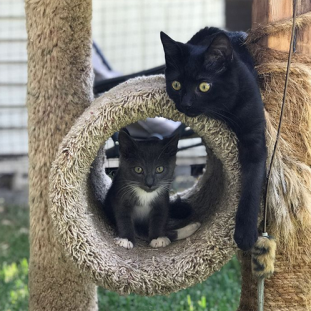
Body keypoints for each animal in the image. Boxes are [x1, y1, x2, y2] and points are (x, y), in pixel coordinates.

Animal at [161, 26, 268, 251]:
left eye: (204, 86)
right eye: (176, 85)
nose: (186, 103)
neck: (225, 110)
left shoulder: (254, 136)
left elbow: (253, 182)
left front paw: (245, 234)